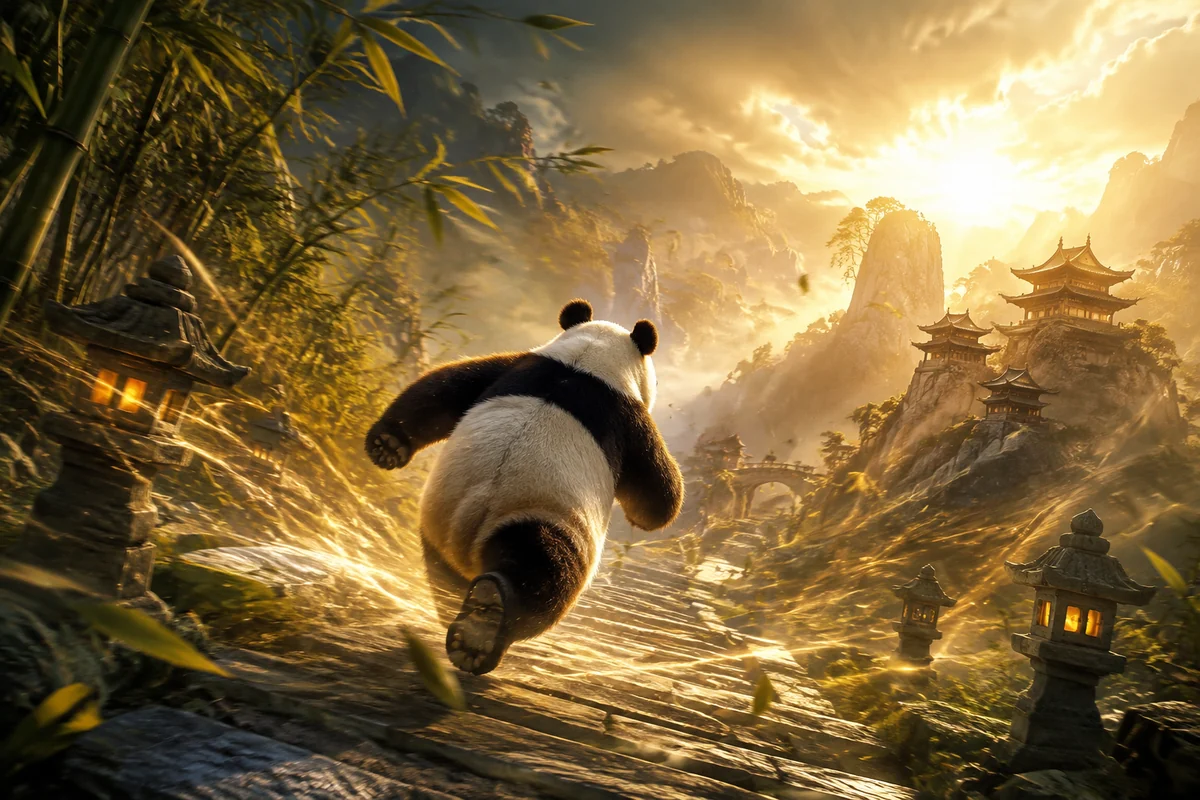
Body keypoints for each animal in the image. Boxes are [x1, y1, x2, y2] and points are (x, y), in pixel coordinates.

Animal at [365, 299, 684, 674]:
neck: (586, 363)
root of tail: (468, 531)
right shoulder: (626, 418)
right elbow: (656, 488)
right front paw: (650, 515)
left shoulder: (515, 365)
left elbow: (444, 388)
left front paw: (388, 445)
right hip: (541, 519)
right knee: (546, 577)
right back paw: (487, 627)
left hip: (437, 529)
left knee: (446, 578)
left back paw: (467, 624)